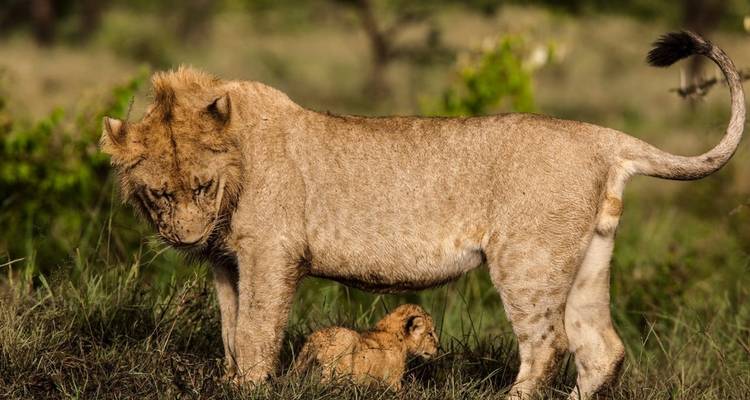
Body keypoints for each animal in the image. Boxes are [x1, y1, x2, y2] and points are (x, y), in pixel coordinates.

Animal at [291, 304, 439, 390]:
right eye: (430, 334)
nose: (438, 346)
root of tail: (316, 342)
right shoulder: (393, 382)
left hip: (300, 365)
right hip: (339, 368)